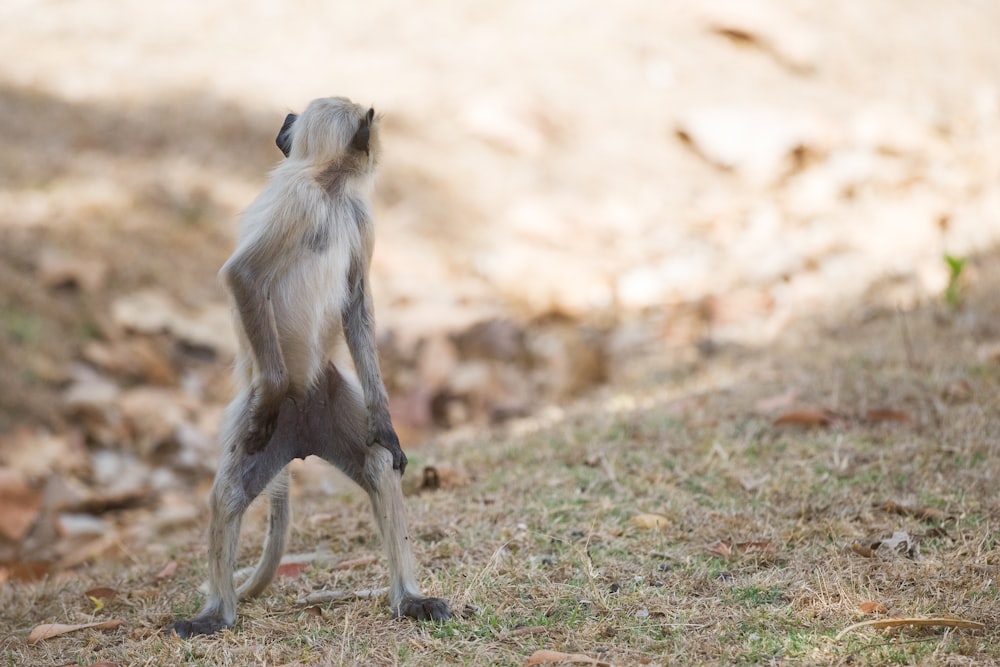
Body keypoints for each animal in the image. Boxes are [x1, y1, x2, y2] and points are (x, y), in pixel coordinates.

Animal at [170, 96, 452, 640]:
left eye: (293, 118)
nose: (282, 122)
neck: (331, 191)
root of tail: (300, 430)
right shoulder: (299, 197)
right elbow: (243, 275)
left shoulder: (359, 216)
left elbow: (357, 303)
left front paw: (388, 422)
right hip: (258, 411)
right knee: (228, 493)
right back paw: (218, 613)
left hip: (331, 395)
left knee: (378, 463)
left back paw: (408, 599)